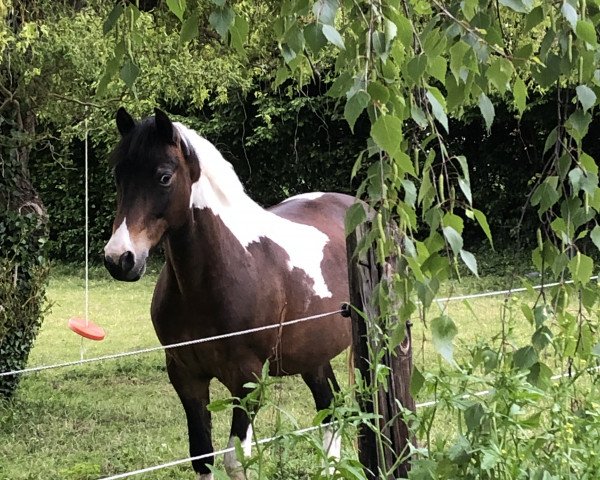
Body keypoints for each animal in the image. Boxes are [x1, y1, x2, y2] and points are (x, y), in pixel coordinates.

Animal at [104, 109, 352, 480]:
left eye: (164, 177)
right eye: (119, 174)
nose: (119, 259)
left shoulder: (248, 380)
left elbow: (235, 459)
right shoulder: (186, 376)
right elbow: (202, 456)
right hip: (314, 355)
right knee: (331, 409)